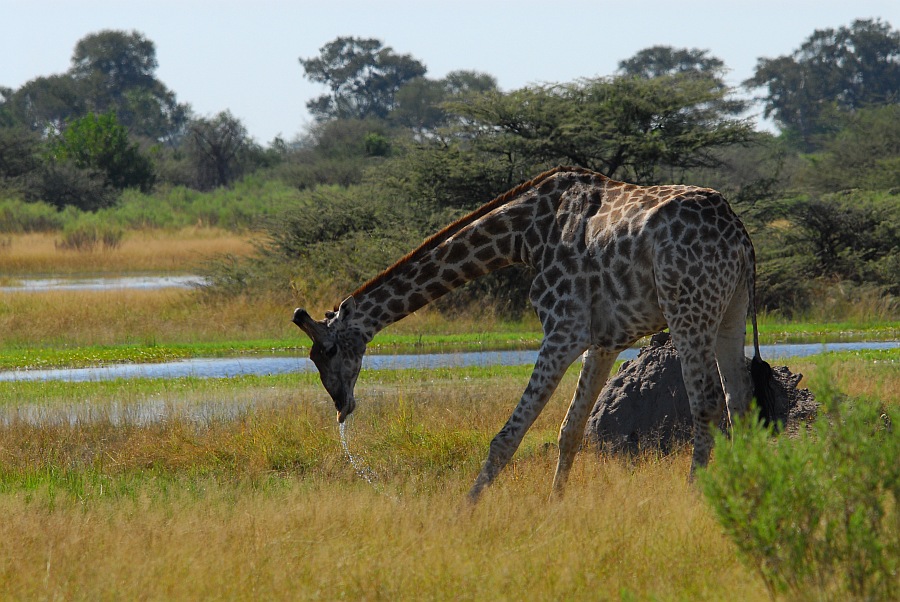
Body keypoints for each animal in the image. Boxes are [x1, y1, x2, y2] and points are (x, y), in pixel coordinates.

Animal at [293, 166, 775, 502]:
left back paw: (695, 493)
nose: (341, 406)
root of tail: (740, 235)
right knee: (739, 398)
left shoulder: (563, 330)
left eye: (328, 350)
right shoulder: (605, 339)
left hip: (688, 309)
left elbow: (507, 436)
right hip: (730, 310)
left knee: (707, 402)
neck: (524, 235)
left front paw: (465, 508)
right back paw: (746, 485)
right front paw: (554, 504)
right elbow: (571, 429)